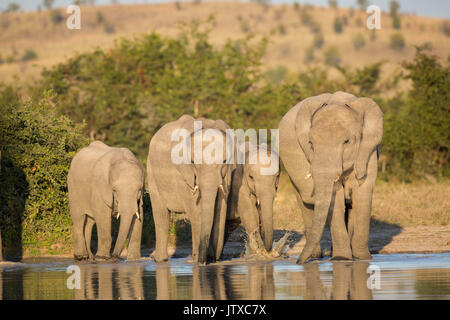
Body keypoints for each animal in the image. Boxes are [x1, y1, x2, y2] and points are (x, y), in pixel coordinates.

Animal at [149, 115, 236, 264]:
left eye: (225, 161)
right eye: (193, 162)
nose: (209, 259)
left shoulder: (227, 175)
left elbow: (220, 208)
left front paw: (210, 259)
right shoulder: (182, 174)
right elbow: (196, 211)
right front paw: (198, 261)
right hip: (151, 172)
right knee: (161, 214)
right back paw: (160, 260)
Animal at [278, 91, 384, 264]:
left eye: (347, 141)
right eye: (310, 143)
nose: (297, 262)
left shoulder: (368, 151)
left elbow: (362, 195)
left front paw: (362, 259)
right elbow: (336, 200)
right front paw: (342, 259)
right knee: (306, 202)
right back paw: (315, 256)